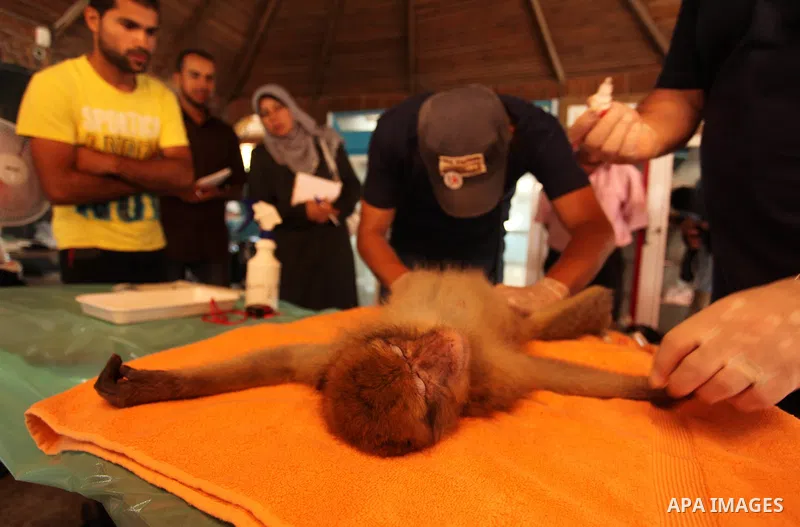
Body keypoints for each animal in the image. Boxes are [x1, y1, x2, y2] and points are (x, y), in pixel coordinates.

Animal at [94, 268, 676, 458]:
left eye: (408, 357)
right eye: (422, 383)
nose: (443, 349)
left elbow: (278, 359)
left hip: (510, 321)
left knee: (525, 324)